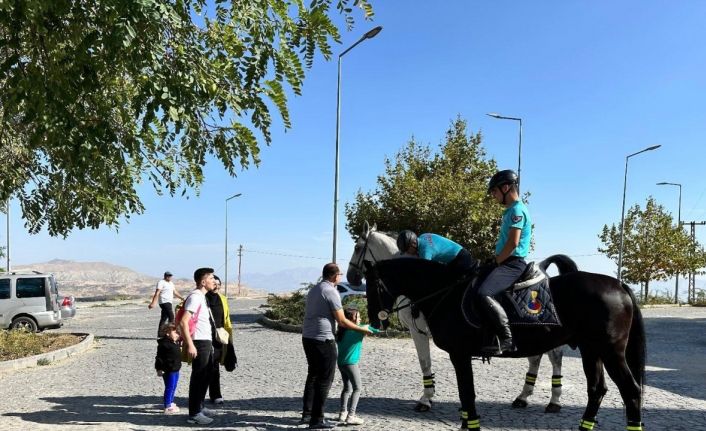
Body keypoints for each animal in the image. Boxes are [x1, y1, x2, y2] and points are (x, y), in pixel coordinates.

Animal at [344, 223, 564, 416]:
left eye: (356, 247)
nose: (351, 277)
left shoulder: (419, 332)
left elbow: (425, 363)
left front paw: (426, 399)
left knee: (555, 357)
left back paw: (553, 401)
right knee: (536, 357)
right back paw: (523, 397)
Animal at [368, 255, 644, 430]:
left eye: (372, 285)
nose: (374, 320)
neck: (446, 293)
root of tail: (619, 285)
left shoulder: (459, 354)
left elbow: (467, 394)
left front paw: (470, 424)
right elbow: (465, 394)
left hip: (611, 352)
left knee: (630, 391)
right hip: (591, 350)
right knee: (597, 390)